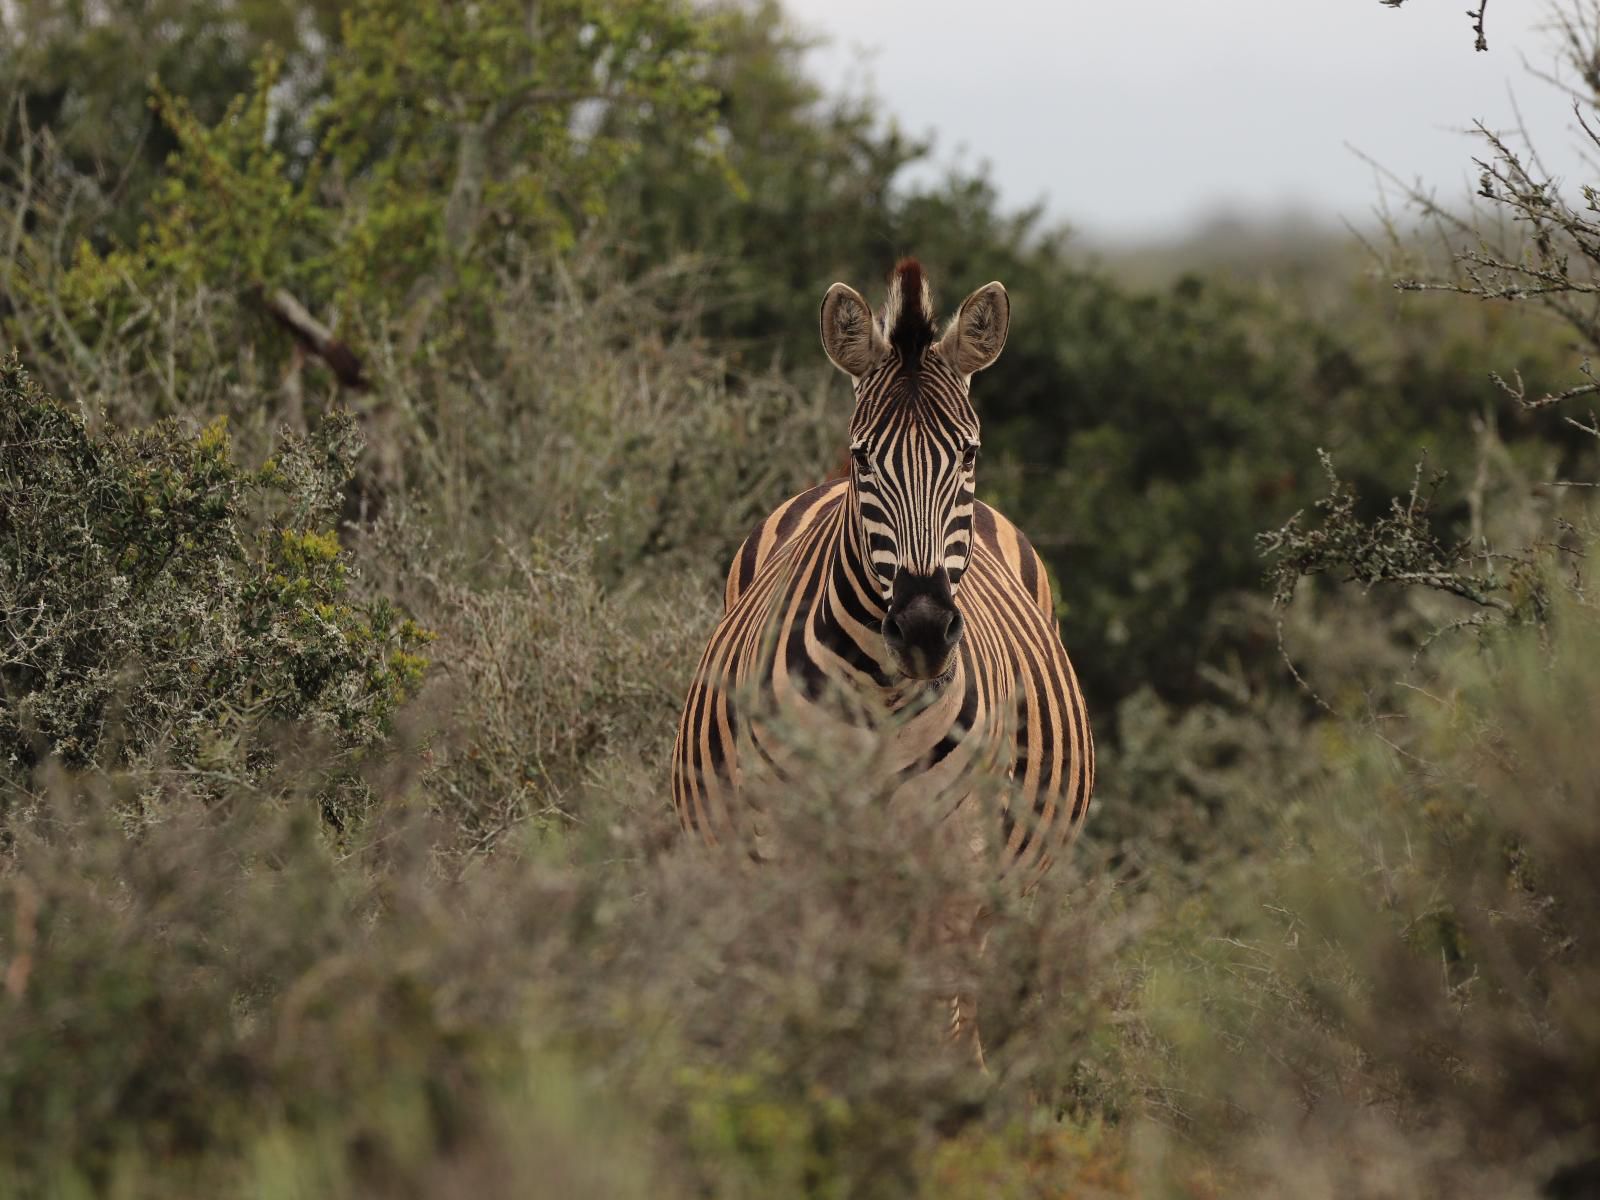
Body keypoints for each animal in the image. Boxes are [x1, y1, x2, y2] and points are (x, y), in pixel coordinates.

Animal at [668, 260, 1094, 883]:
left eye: (969, 455)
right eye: (863, 457)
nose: (922, 630)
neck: (882, 696)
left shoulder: (959, 863)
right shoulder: (781, 852)